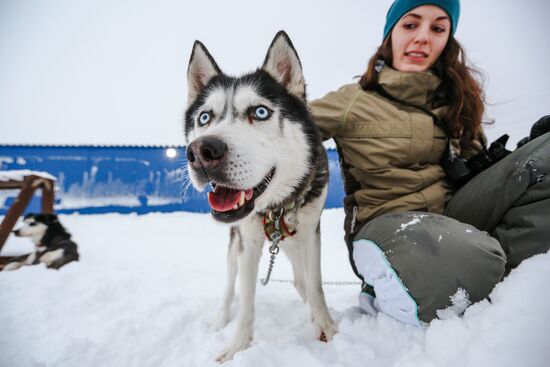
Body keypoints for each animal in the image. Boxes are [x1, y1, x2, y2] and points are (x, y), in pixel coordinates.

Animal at [185, 31, 338, 362]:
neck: (275, 208)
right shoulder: (248, 242)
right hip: (234, 246)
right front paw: (237, 347)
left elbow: (315, 285)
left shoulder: (310, 232)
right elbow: (246, 300)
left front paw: (328, 328)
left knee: (301, 279)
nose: (202, 152)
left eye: (260, 112)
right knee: (231, 284)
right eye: (204, 118)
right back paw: (220, 318)